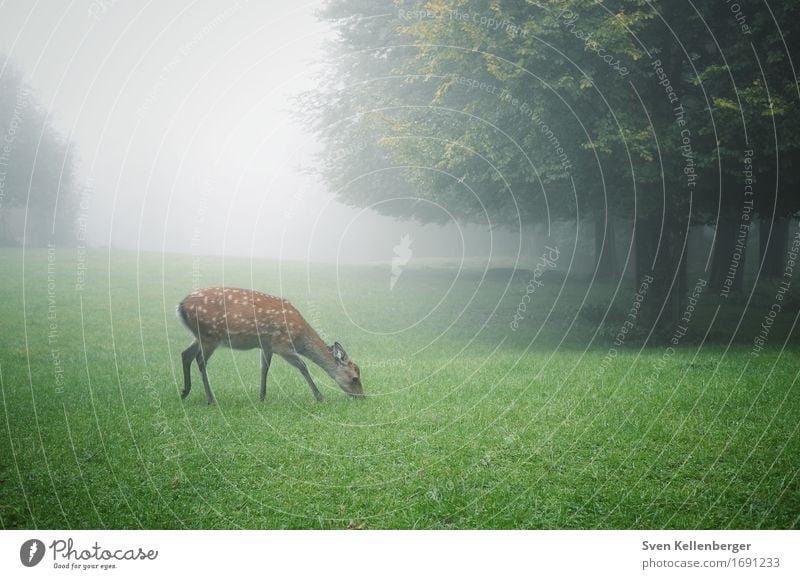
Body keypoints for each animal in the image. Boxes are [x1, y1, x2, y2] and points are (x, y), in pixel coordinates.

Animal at [177, 288, 364, 406]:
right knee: (200, 360)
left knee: (185, 354)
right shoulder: (282, 345)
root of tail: (180, 306)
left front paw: (261, 397)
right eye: (355, 378)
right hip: (210, 335)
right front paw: (319, 396)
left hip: (200, 336)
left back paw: (185, 391)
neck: (300, 337)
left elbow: (264, 368)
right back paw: (211, 399)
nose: (362, 396)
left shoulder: (267, 346)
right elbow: (303, 366)